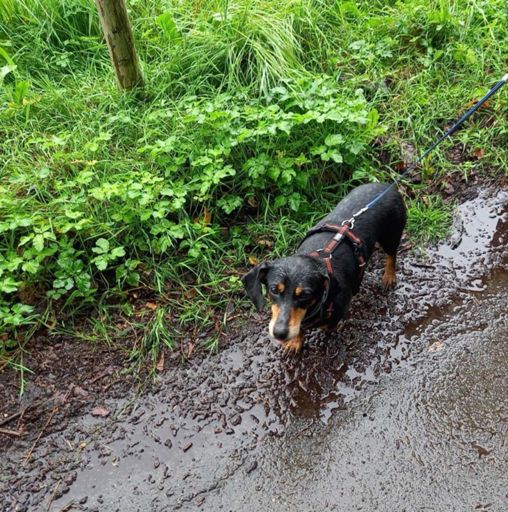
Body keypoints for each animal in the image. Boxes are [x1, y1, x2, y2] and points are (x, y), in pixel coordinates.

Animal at [242, 183, 407, 353]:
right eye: (274, 289)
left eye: (305, 294)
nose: (279, 333)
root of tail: (389, 186)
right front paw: (295, 341)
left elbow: (328, 325)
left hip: (391, 236)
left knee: (392, 255)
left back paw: (389, 276)